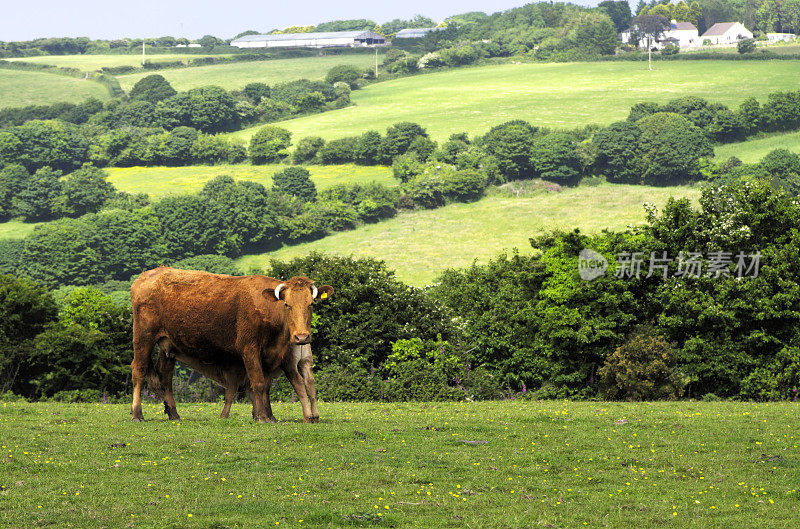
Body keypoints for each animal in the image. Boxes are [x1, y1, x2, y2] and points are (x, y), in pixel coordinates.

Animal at [131, 266, 332, 422]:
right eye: (287, 304)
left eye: (311, 304)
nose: (301, 337)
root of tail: (145, 276)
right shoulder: (250, 349)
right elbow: (258, 383)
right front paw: (262, 418)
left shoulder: (270, 356)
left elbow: (264, 386)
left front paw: (266, 416)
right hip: (143, 337)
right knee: (138, 370)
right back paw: (137, 414)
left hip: (168, 345)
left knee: (166, 378)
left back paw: (173, 413)